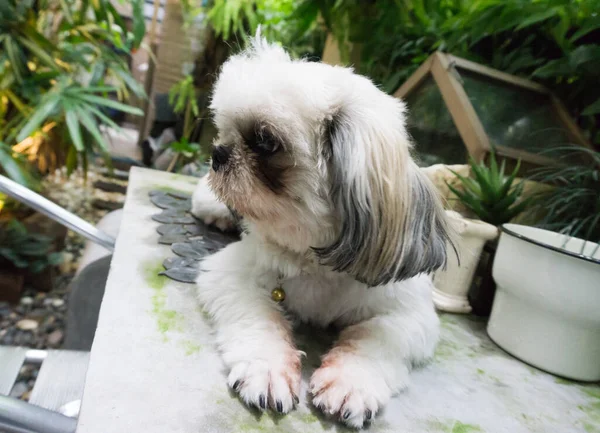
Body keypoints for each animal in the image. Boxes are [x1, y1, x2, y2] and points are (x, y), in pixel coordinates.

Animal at [193, 35, 454, 426]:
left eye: (265, 142)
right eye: (227, 131)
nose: (219, 152)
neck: (317, 260)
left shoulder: (406, 314)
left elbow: (374, 339)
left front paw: (351, 383)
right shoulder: (230, 276)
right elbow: (261, 319)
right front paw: (268, 369)